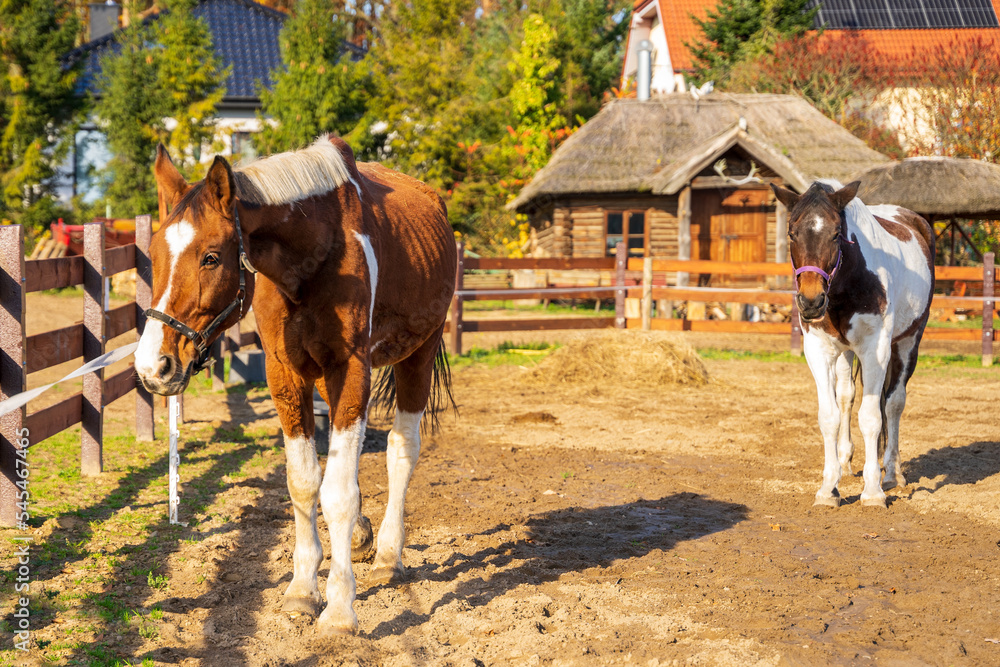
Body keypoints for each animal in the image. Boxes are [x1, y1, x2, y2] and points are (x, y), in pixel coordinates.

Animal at [133, 136, 458, 636]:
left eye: (211, 257)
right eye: (153, 255)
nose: (154, 366)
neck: (315, 257)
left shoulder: (352, 369)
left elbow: (337, 492)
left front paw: (340, 608)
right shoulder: (286, 374)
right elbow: (305, 481)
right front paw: (303, 589)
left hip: (418, 354)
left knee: (402, 449)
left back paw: (389, 553)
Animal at [768, 180, 932, 508]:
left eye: (835, 233)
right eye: (792, 232)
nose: (811, 301)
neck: (846, 282)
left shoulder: (875, 349)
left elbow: (871, 417)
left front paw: (873, 491)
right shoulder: (818, 350)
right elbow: (829, 415)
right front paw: (828, 488)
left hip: (908, 341)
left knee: (894, 403)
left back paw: (892, 473)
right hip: (844, 353)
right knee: (846, 396)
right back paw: (845, 463)